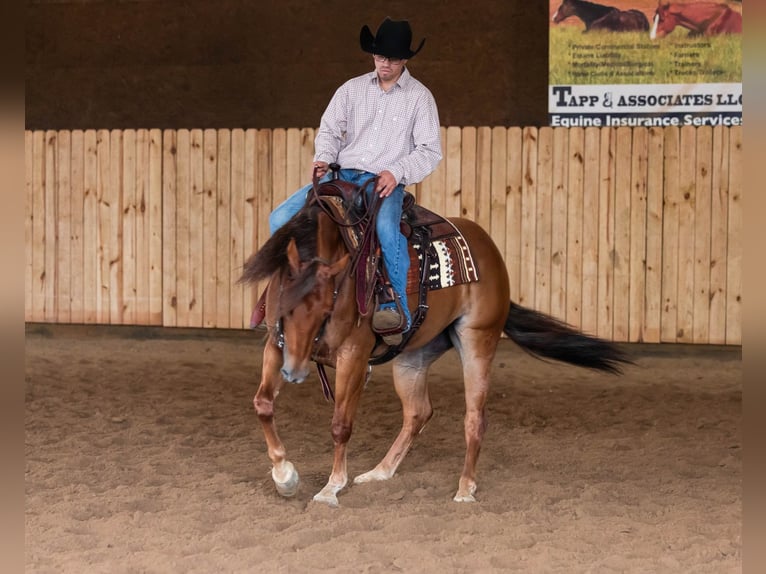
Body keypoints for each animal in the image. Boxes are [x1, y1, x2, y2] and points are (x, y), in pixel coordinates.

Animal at [240, 196, 632, 506]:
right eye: (284, 305)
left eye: (326, 308)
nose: (294, 373)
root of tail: (489, 249)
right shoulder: (277, 346)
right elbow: (263, 404)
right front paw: (285, 476)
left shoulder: (353, 356)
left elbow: (341, 425)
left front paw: (330, 488)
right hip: (412, 357)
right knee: (418, 412)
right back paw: (380, 472)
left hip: (477, 340)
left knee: (474, 417)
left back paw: (465, 488)